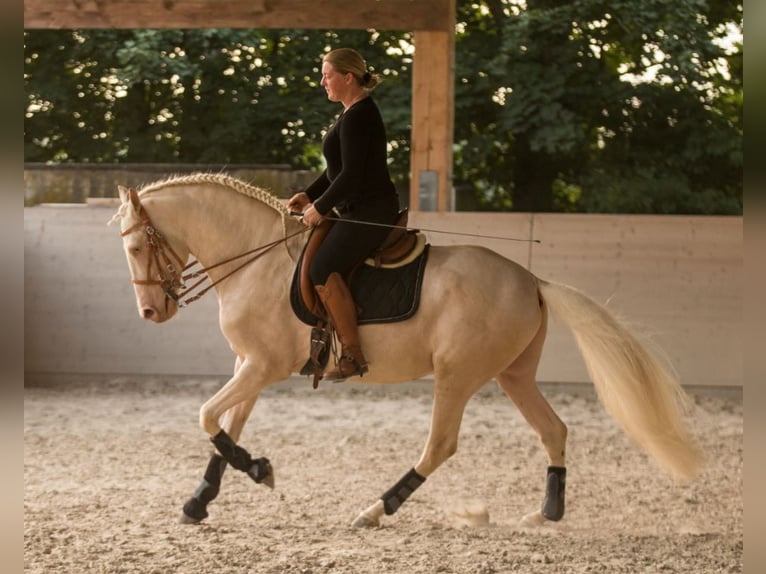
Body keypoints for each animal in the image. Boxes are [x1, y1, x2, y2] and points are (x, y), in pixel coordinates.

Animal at [111, 172, 704, 532]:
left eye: (137, 245)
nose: (150, 313)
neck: (257, 260)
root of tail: (532, 280)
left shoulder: (262, 366)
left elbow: (206, 415)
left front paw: (257, 471)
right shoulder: (248, 366)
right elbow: (223, 429)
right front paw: (204, 499)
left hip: (457, 376)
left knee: (439, 445)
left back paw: (376, 509)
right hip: (513, 375)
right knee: (553, 429)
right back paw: (547, 513)